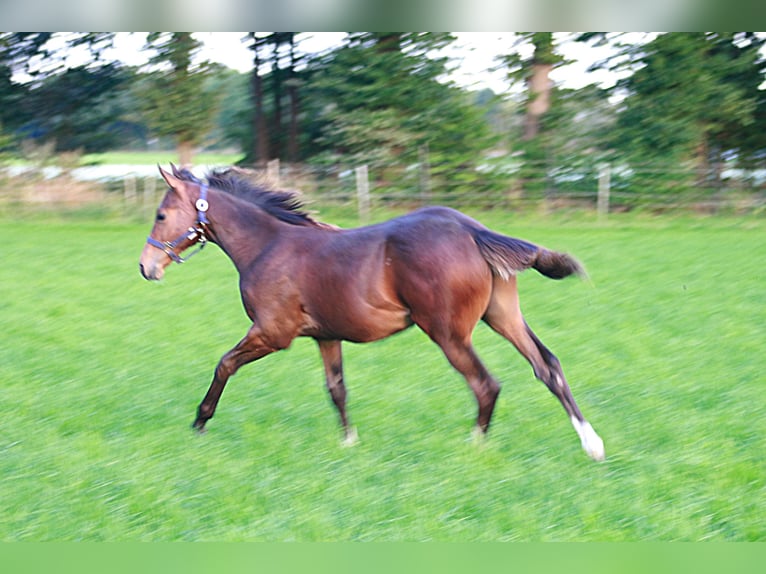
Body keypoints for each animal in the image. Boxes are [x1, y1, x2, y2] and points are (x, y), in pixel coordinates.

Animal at [139, 165, 605, 461]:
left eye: (161, 214)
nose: (147, 267)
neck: (268, 245)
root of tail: (473, 230)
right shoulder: (326, 335)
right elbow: (337, 388)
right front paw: (349, 442)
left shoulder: (273, 332)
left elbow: (224, 364)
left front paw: (199, 423)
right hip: (502, 316)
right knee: (547, 366)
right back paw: (592, 445)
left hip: (449, 332)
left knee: (487, 384)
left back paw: (474, 447)